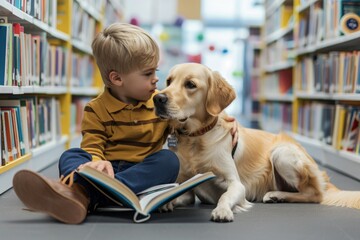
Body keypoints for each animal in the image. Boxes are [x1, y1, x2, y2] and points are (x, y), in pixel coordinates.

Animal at [153, 62, 360, 222]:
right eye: (169, 81)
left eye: (190, 84)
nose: (158, 98)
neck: (196, 137)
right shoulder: (185, 186)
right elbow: (177, 194)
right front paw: (165, 202)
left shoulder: (237, 184)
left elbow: (225, 196)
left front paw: (222, 210)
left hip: (281, 153)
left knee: (315, 194)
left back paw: (276, 196)